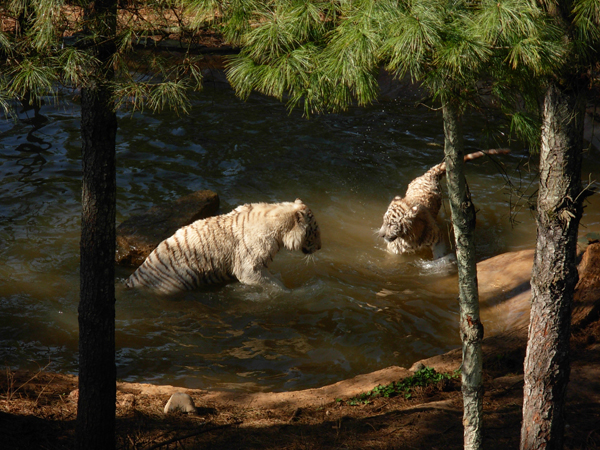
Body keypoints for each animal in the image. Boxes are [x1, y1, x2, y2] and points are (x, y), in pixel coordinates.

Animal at [125, 199, 324, 294]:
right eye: (314, 231)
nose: (320, 247)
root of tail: (132, 279)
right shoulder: (249, 266)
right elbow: (272, 282)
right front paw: (287, 292)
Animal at [378, 149, 508, 258]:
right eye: (384, 221)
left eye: (392, 224)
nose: (381, 235)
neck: (407, 236)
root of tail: (429, 174)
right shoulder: (394, 249)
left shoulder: (437, 238)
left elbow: (439, 255)